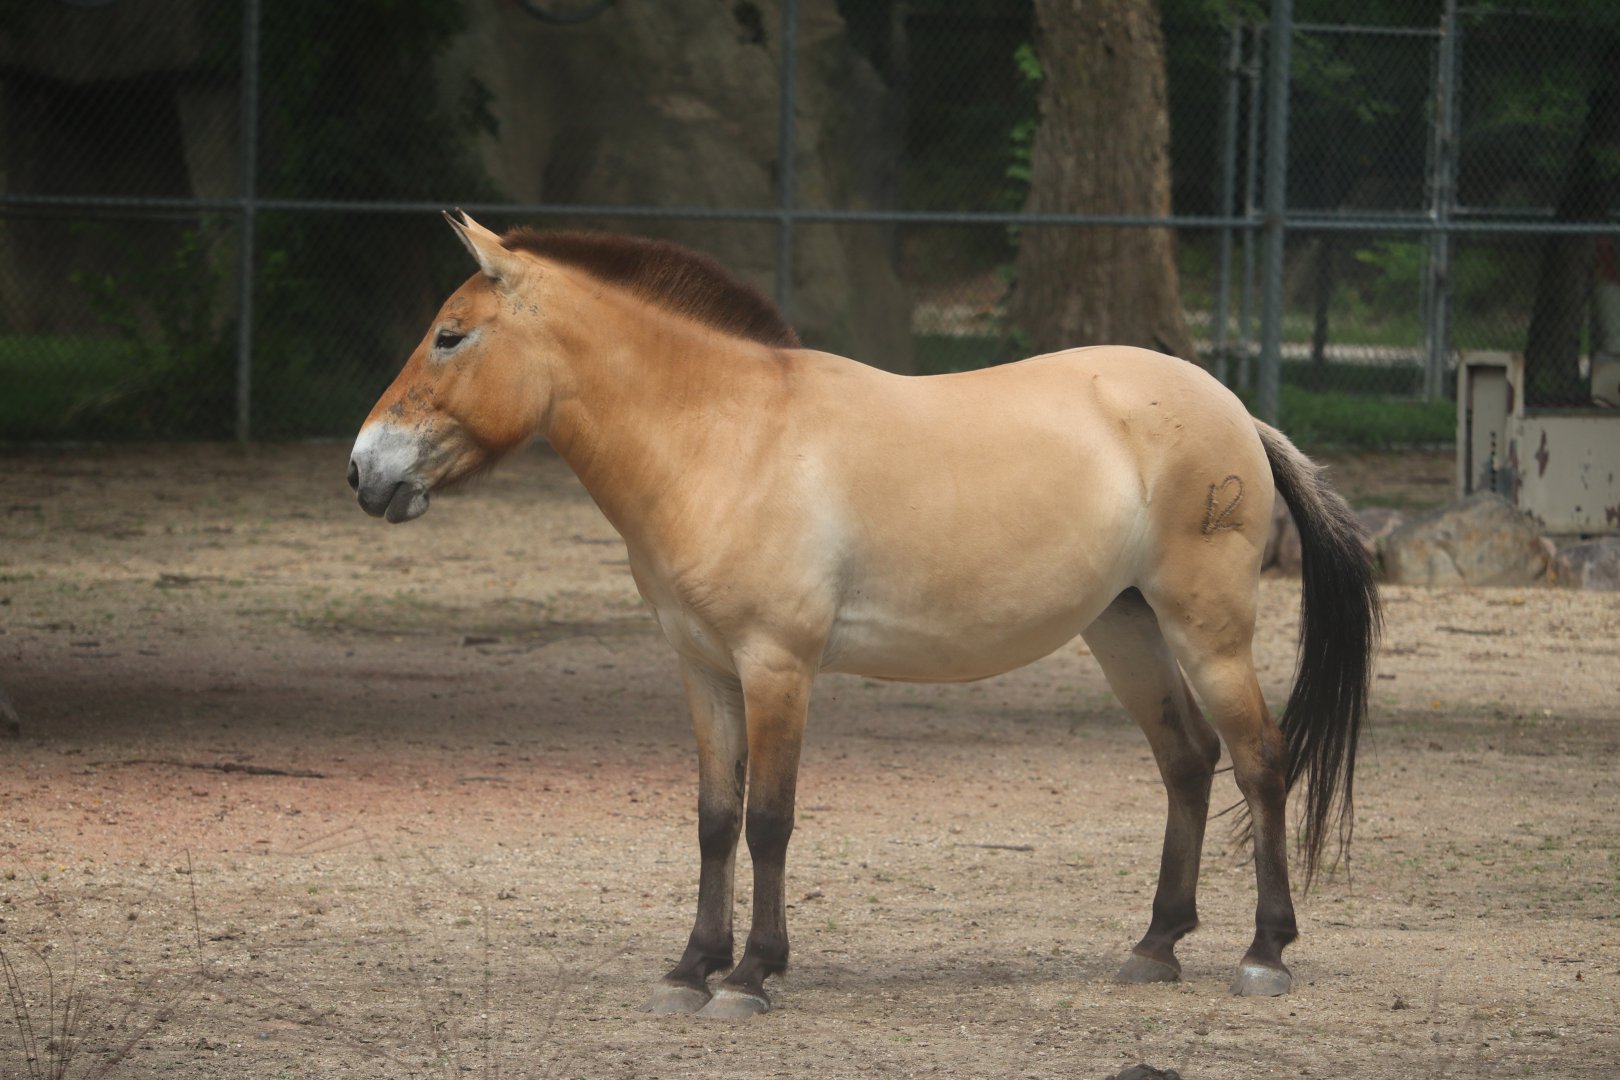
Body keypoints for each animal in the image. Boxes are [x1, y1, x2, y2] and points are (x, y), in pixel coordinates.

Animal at [348, 211, 1380, 1019]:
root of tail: (1235, 409)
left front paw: (751, 977)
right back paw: (1156, 947)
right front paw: (690, 969)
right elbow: (715, 819)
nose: (364, 469)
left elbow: (770, 819)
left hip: (1207, 630)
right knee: (1187, 761)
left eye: (450, 336)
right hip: (1123, 629)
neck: (725, 434)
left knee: (1260, 760)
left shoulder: (776, 666)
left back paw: (1264, 954)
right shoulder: (704, 668)